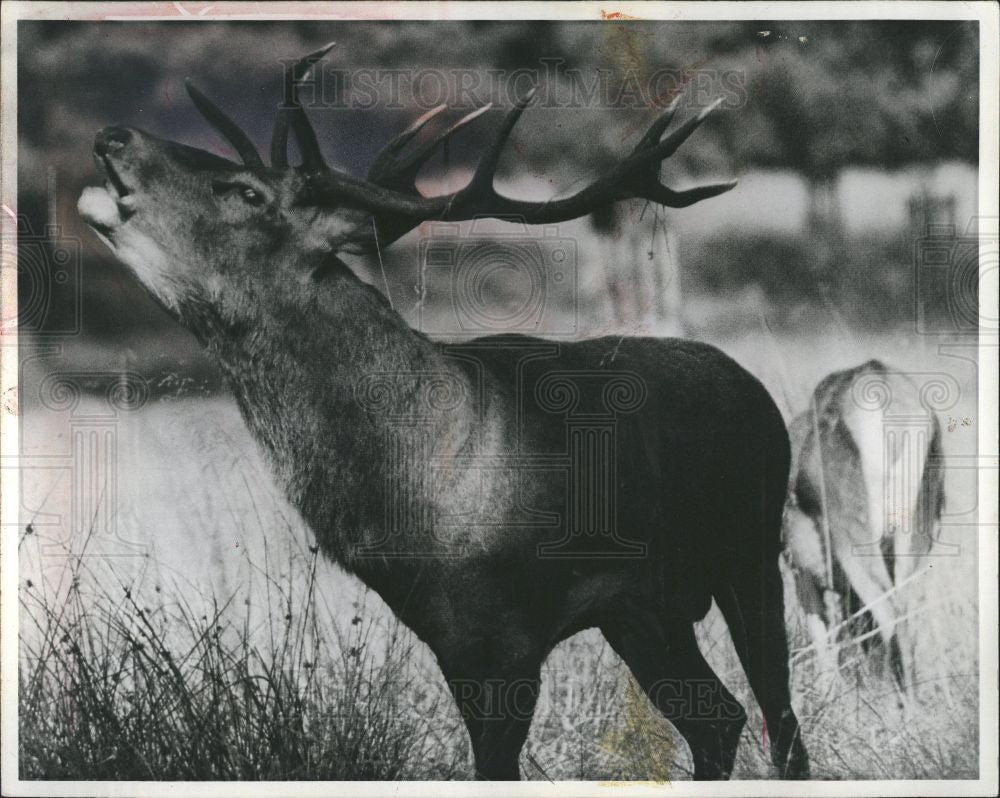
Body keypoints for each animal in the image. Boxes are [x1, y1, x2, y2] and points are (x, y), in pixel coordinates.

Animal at [82, 45, 808, 780]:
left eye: (248, 193)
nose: (115, 135)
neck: (402, 499)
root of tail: (758, 393)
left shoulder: (510, 636)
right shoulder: (448, 636)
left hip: (750, 548)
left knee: (780, 721)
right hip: (645, 608)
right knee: (718, 719)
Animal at [780, 362, 944, 692]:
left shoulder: (803, 574)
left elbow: (823, 641)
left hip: (857, 547)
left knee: (889, 615)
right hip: (910, 543)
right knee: (904, 617)